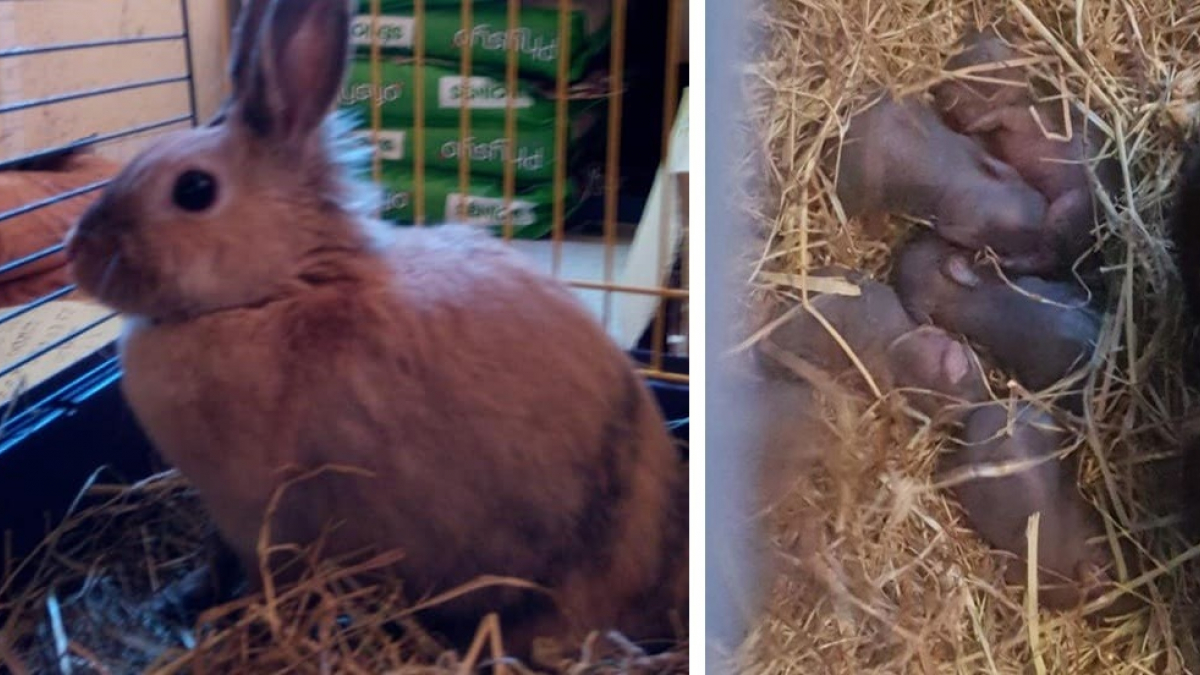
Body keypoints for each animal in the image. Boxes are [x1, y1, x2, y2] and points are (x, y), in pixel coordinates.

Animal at [63, 0, 686, 658]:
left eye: (194, 188)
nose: (75, 251)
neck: (276, 293)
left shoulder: (262, 522)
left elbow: (254, 575)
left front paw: (225, 615)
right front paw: (181, 596)